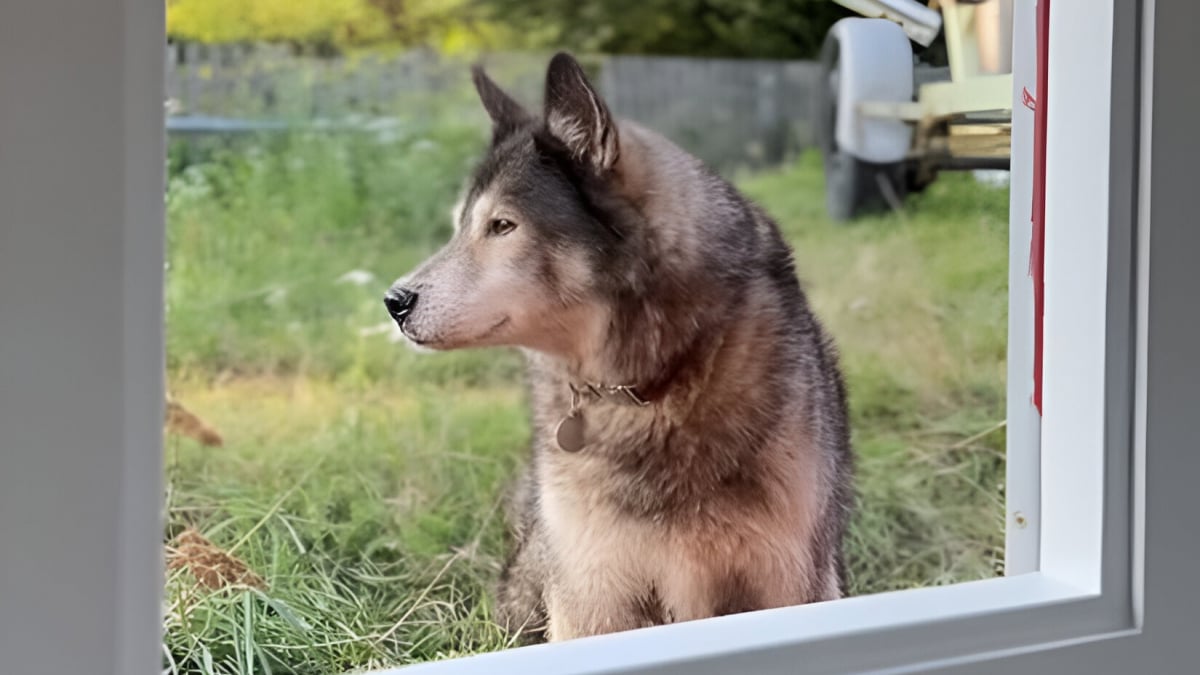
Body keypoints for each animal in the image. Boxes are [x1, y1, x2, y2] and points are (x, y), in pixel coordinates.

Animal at [384, 52, 854, 638]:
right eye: (459, 226)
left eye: (502, 225)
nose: (394, 301)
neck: (650, 386)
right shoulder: (595, 594)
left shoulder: (788, 575)